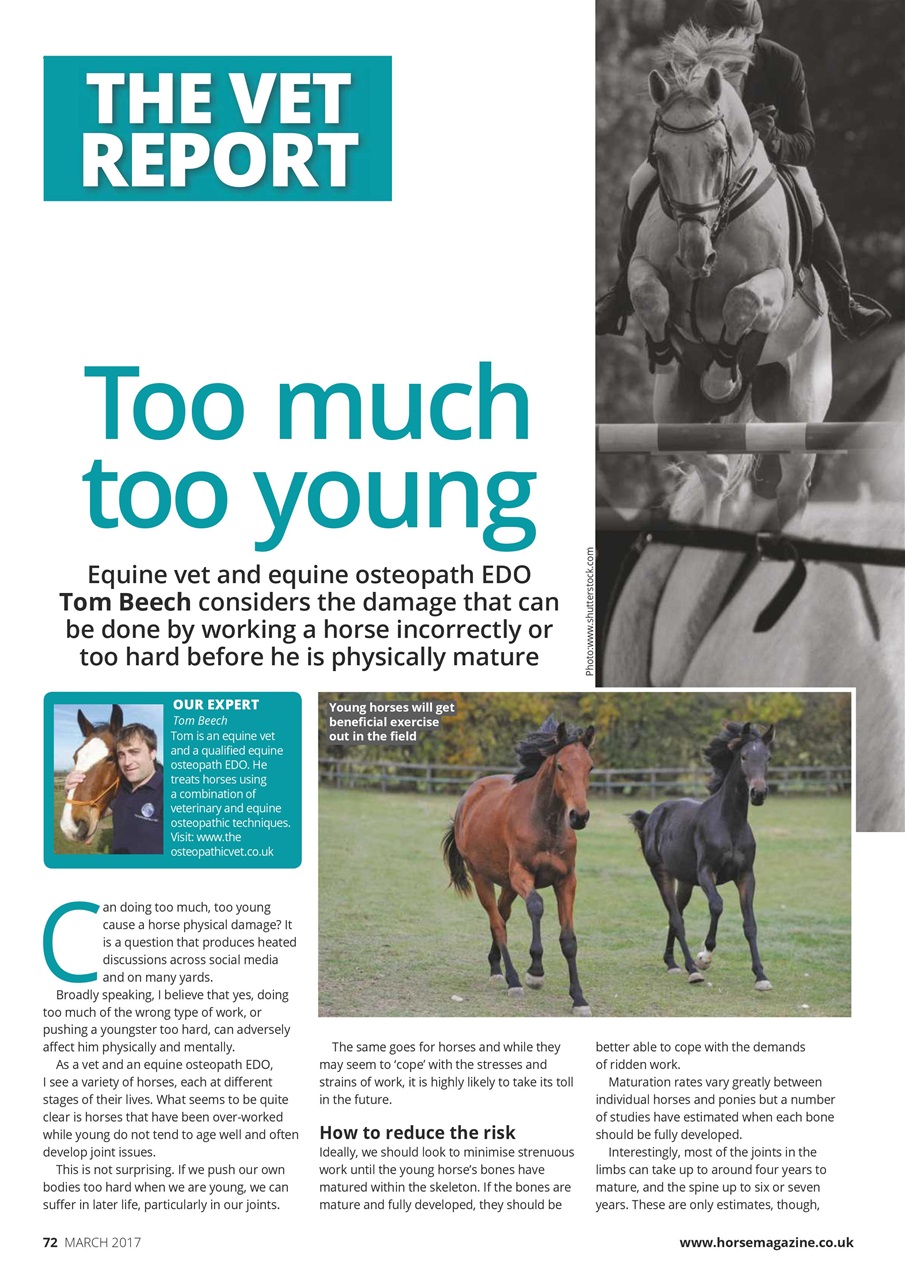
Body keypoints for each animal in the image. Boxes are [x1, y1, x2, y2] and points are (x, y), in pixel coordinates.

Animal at [441, 716, 596, 1015]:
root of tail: (468, 798)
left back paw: (495, 967)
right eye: (560, 766)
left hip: (507, 885)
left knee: (501, 916)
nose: (579, 816)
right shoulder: (522, 875)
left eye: (590, 766)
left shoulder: (566, 881)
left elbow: (569, 940)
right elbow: (536, 906)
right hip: (482, 878)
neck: (546, 823)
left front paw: (579, 998)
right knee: (497, 923)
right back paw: (512, 980)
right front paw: (535, 972)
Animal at [628, 721, 775, 990]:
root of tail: (653, 815)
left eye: (768, 758)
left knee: (676, 914)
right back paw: (691, 969)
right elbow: (716, 905)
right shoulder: (706, 872)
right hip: (661, 873)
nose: (758, 793)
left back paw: (671, 962)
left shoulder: (746, 876)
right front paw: (704, 957)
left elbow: (750, 924)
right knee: (676, 918)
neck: (730, 824)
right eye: (744, 756)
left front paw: (761, 975)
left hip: (685, 881)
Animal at [629, 26, 832, 525]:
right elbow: (649, 295)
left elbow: (743, 301)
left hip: (798, 413)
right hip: (671, 414)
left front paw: (721, 379)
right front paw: (664, 351)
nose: (694, 254)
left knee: (791, 488)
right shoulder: (642, 265)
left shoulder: (775, 284)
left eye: (719, 153)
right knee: (715, 467)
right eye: (659, 156)